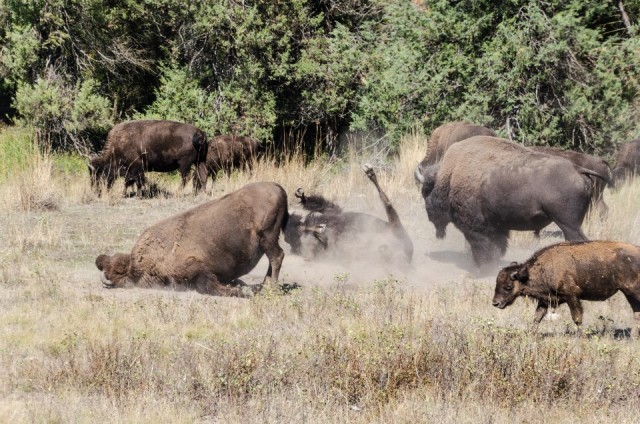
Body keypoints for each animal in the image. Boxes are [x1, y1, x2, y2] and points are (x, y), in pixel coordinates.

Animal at [96, 182, 288, 297]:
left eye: (118, 274)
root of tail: (278, 188)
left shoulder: (197, 270)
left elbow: (208, 286)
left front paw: (237, 291)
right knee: (274, 259)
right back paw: (264, 286)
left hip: (267, 237)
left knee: (277, 257)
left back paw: (270, 288)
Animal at [283, 164, 413, 265]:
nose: (289, 244)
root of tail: (409, 254)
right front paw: (319, 230)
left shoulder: (333, 211)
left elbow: (324, 206)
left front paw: (302, 196)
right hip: (395, 229)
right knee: (387, 203)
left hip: (395, 227)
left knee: (386, 201)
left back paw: (369, 172)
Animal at [417, 136, 607, 265]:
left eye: (425, 191)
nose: (429, 216)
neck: (449, 175)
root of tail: (577, 169)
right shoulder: (497, 227)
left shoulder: (476, 228)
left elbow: (481, 247)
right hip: (572, 224)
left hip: (568, 225)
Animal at [493, 241, 640, 336]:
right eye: (497, 283)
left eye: (508, 286)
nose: (495, 303)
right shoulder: (545, 300)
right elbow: (537, 317)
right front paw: (530, 333)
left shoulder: (572, 297)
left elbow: (577, 318)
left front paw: (581, 336)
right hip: (629, 293)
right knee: (636, 312)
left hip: (633, 291)